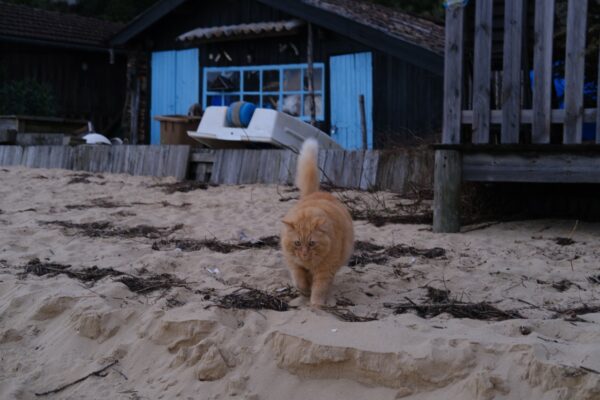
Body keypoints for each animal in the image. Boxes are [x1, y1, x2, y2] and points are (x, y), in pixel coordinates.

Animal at [280, 138, 354, 306]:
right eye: (297, 243)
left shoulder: (325, 270)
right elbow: (300, 280)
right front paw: (305, 292)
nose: (304, 253)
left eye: (312, 243)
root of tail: (315, 193)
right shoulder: (294, 264)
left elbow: (319, 288)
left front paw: (316, 305)